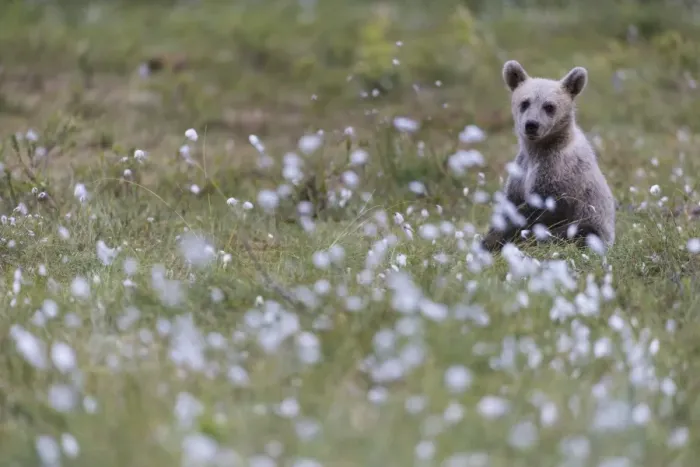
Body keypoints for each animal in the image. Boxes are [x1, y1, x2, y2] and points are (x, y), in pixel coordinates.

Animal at [481, 60, 615, 253]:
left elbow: (539, 212)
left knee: (581, 232)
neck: (539, 150)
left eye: (549, 106)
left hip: (595, 227)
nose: (531, 125)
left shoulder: (559, 174)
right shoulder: (521, 172)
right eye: (525, 102)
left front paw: (494, 241)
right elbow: (510, 203)